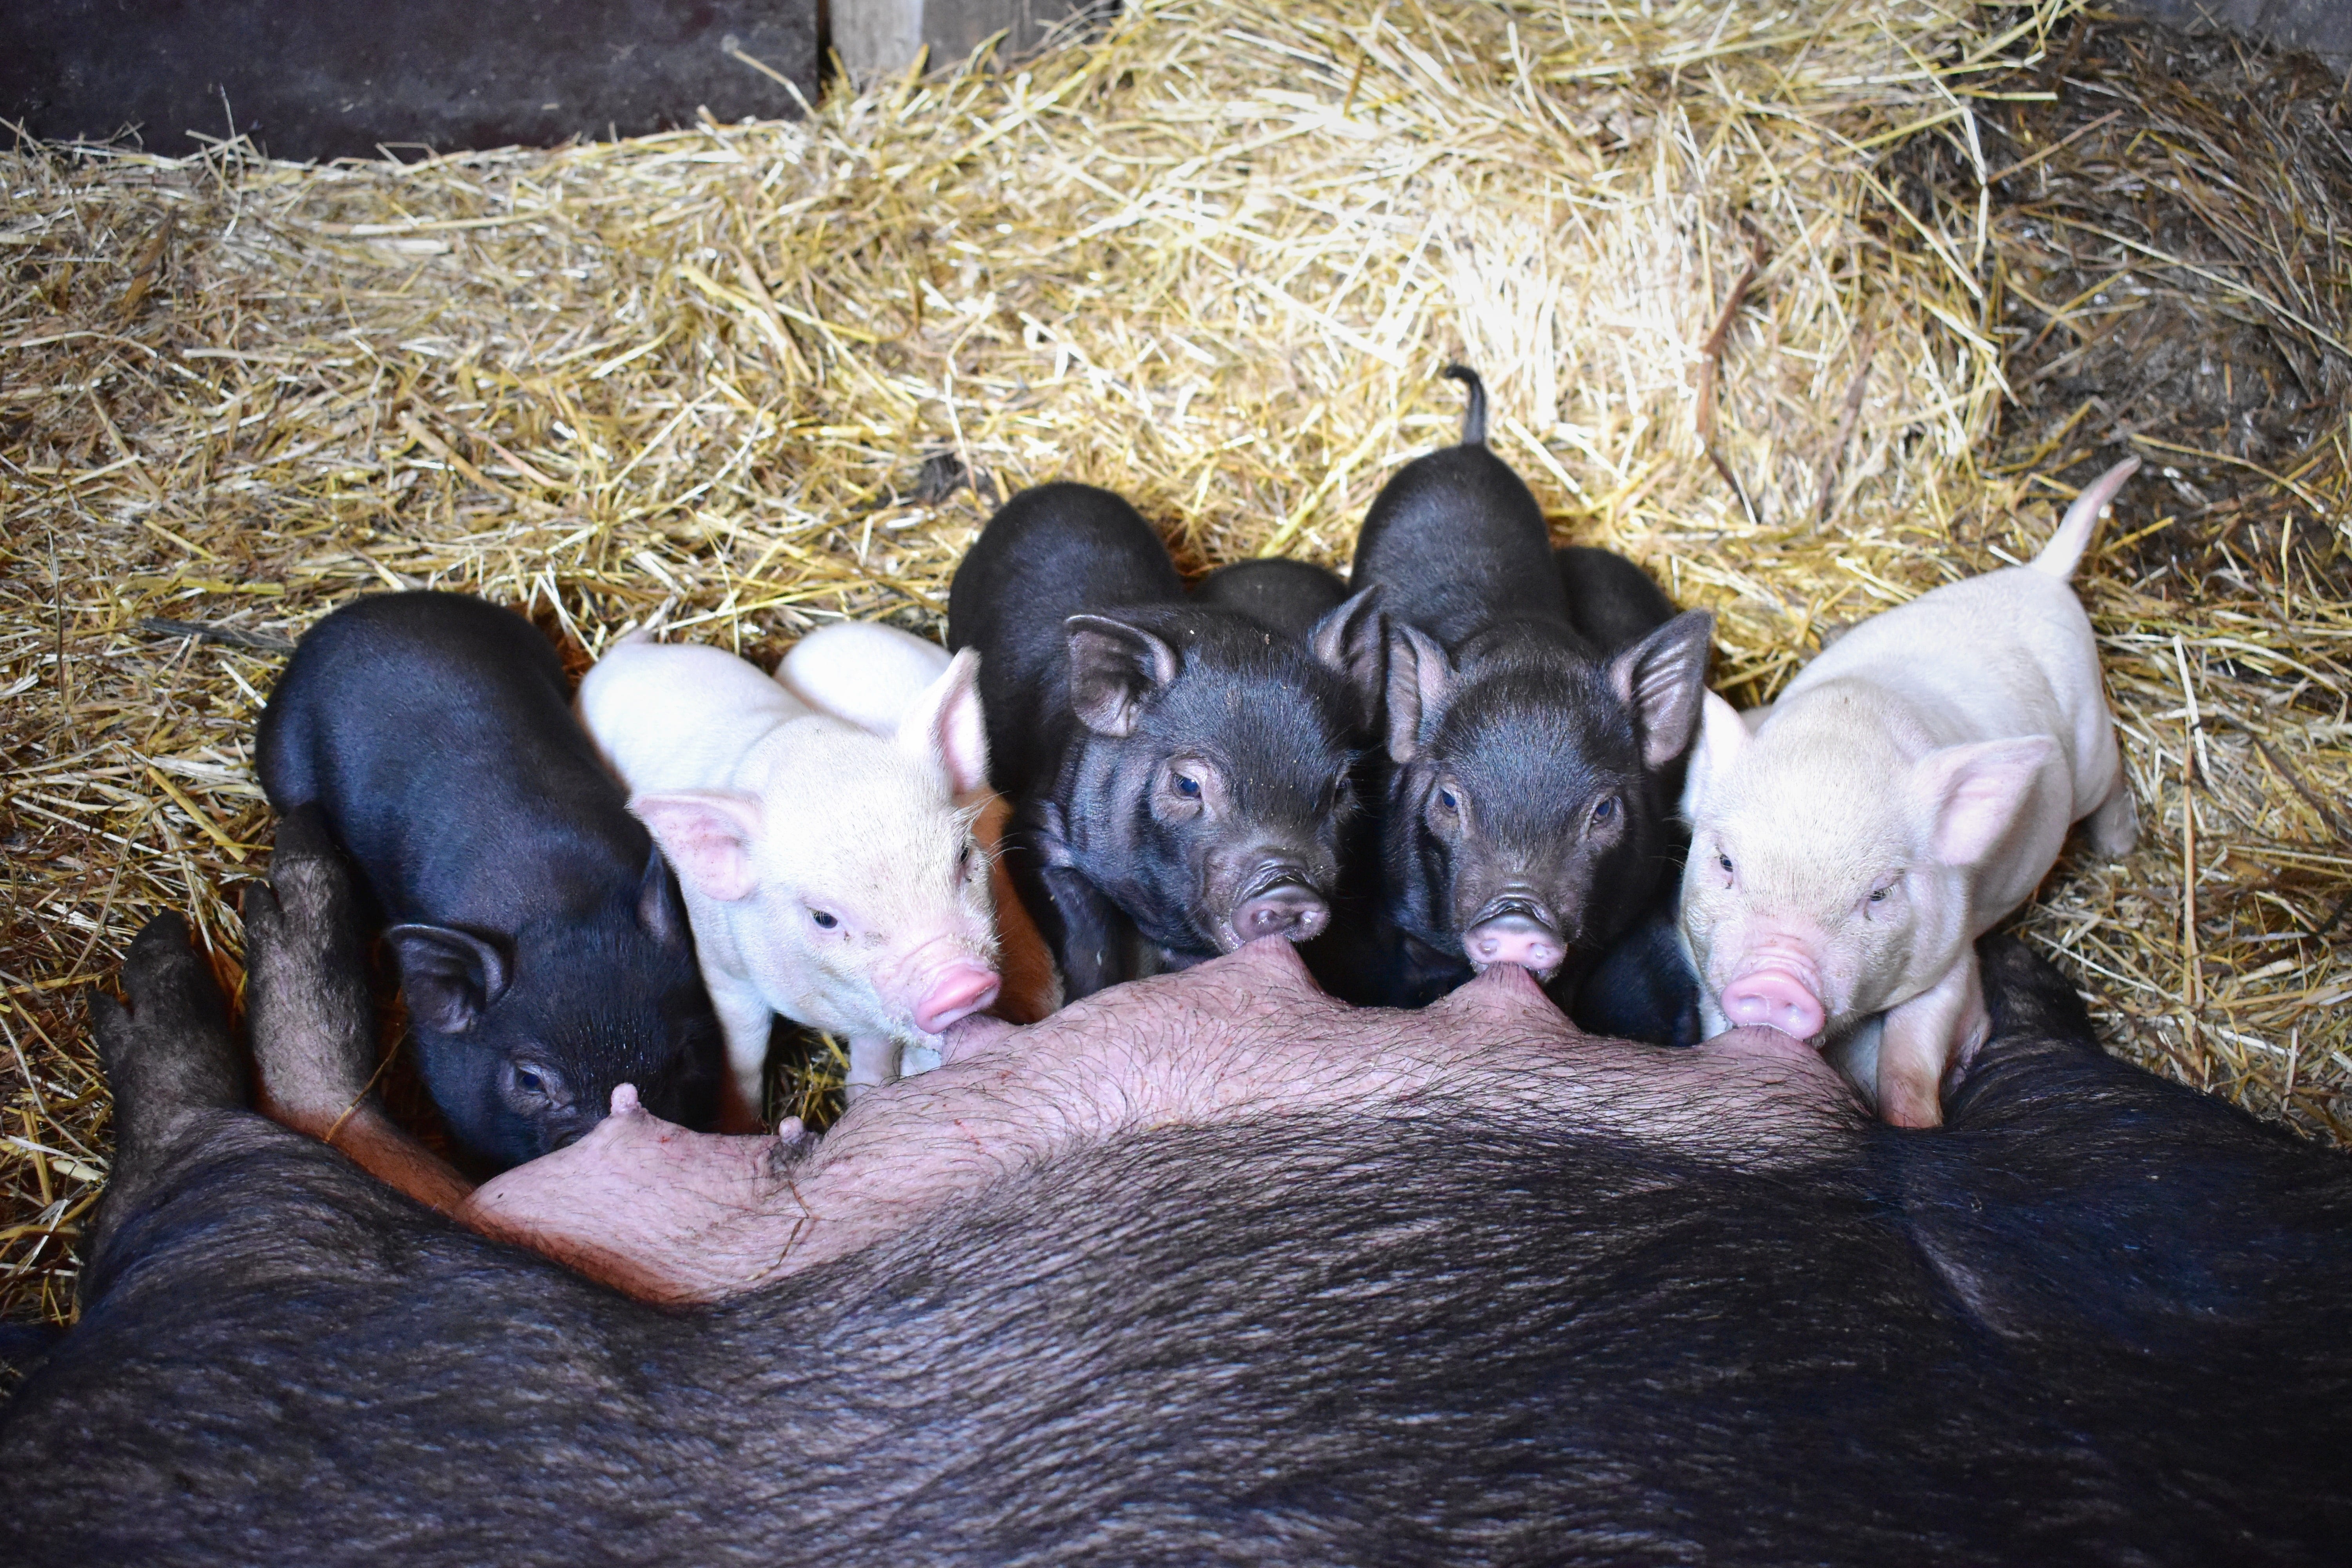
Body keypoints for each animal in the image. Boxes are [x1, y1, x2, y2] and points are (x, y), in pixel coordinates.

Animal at [577, 633, 1001, 1121]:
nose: (960, 982)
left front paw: (866, 1096)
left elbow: (874, 1048)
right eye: (823, 918)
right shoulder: (721, 969)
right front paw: (738, 1124)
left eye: (963, 854)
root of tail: (629, 648)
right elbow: (742, 1054)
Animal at [947, 481, 1386, 998]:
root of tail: (1055, 488)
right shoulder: (1038, 831)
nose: (1287, 889)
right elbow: (1087, 941)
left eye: (1342, 789)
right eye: (1187, 785)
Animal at [1678, 457, 2146, 1127]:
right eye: (1725, 864)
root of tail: (2044, 576)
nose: (1774, 982)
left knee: (2113, 780)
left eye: (1880, 893)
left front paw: (1919, 1127)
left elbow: (1908, 1064)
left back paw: (2118, 849)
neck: (1848, 729)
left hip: (2092, 743)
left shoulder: (1950, 953)